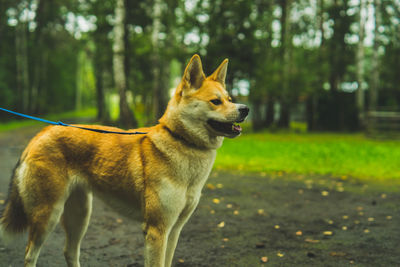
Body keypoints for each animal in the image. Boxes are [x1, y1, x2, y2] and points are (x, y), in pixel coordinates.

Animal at [1, 55, 248, 267]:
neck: (182, 142)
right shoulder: (157, 230)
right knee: (30, 255)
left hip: (80, 214)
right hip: (48, 215)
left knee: (69, 252)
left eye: (229, 99)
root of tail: (40, 135)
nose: (245, 109)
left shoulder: (174, 230)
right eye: (215, 101)